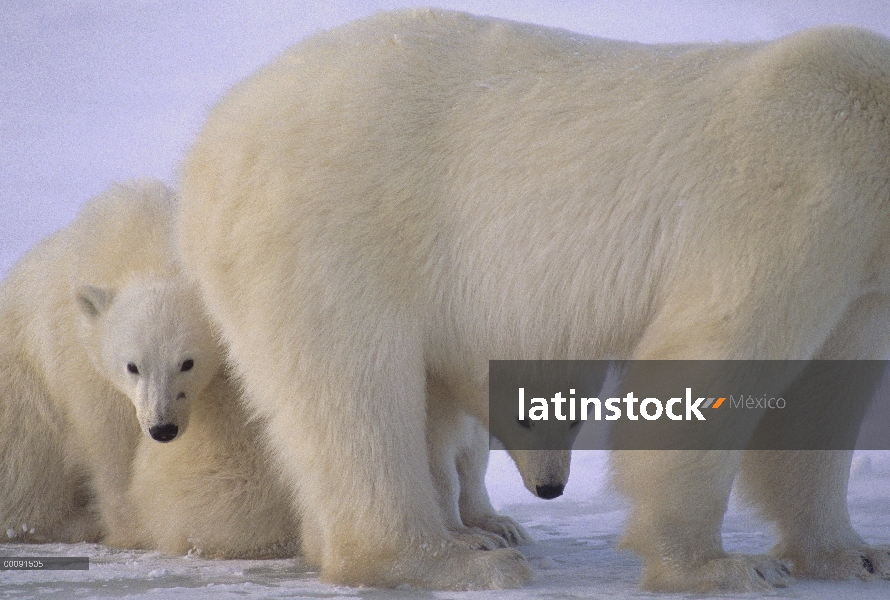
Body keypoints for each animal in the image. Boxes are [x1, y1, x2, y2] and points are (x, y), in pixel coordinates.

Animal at [179, 8, 888, 592]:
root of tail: (210, 141)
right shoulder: (797, 187)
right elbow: (712, 359)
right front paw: (720, 567)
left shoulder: (858, 271)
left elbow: (826, 394)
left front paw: (853, 554)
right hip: (331, 230)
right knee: (355, 392)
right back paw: (451, 560)